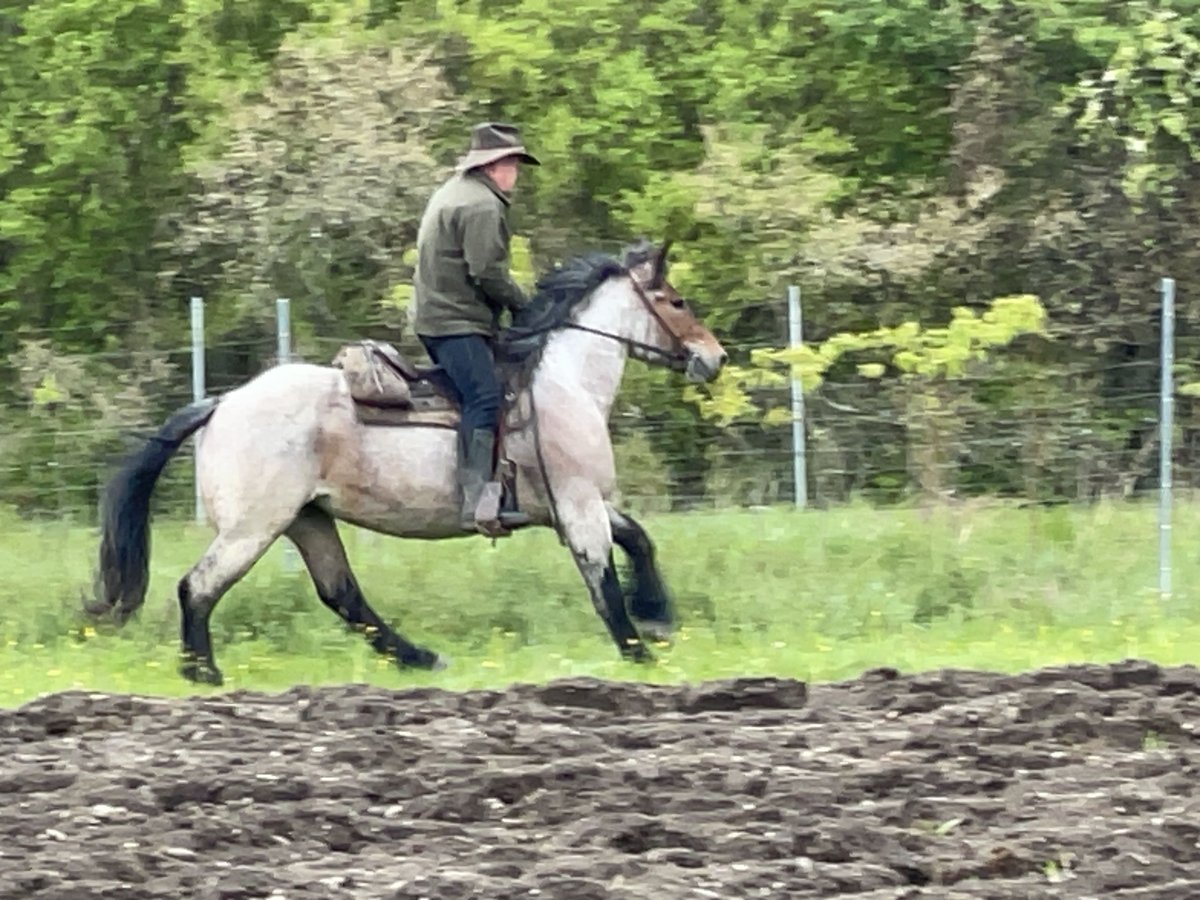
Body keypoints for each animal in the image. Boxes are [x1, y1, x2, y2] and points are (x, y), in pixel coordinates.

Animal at [88, 240, 724, 681]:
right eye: (675, 301)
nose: (713, 358)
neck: (562, 382)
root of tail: (223, 402)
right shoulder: (579, 506)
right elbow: (602, 579)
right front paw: (638, 651)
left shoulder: (573, 506)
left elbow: (638, 539)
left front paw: (658, 618)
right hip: (254, 527)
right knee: (198, 587)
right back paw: (204, 673)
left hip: (307, 520)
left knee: (343, 596)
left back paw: (419, 658)